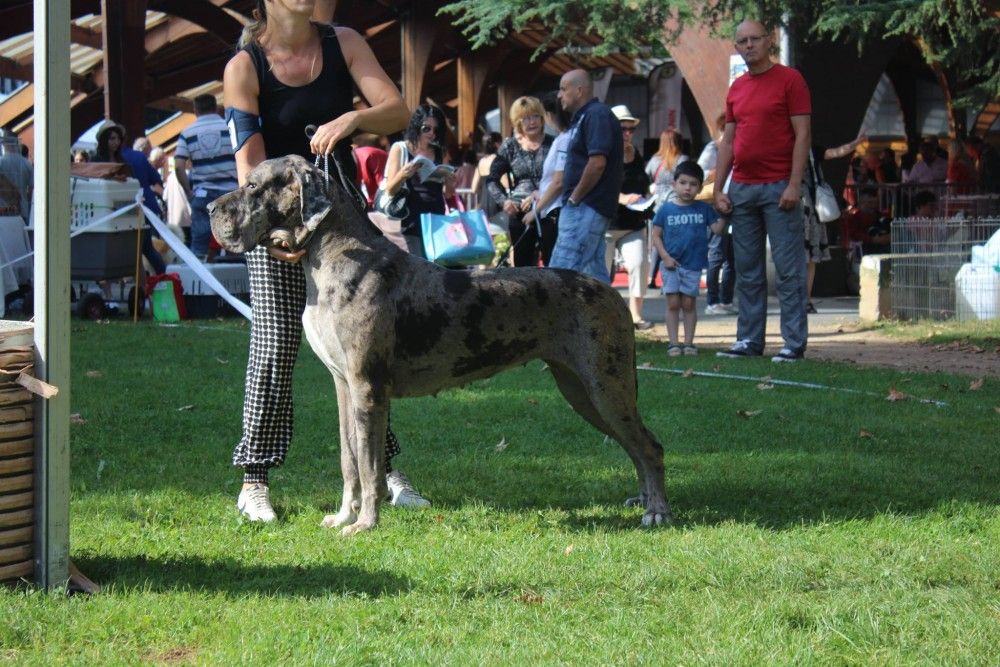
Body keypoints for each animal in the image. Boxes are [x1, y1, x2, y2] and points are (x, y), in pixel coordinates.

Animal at [209, 155, 671, 535]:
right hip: (581, 390)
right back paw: (644, 501)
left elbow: (371, 466)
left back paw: (657, 512)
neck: (334, 254)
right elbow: (349, 460)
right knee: (634, 446)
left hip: (605, 385)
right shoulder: (343, 385)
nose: (212, 210)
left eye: (253, 186)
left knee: (649, 445)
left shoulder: (367, 388)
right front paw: (343, 516)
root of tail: (613, 293)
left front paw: (365, 524)